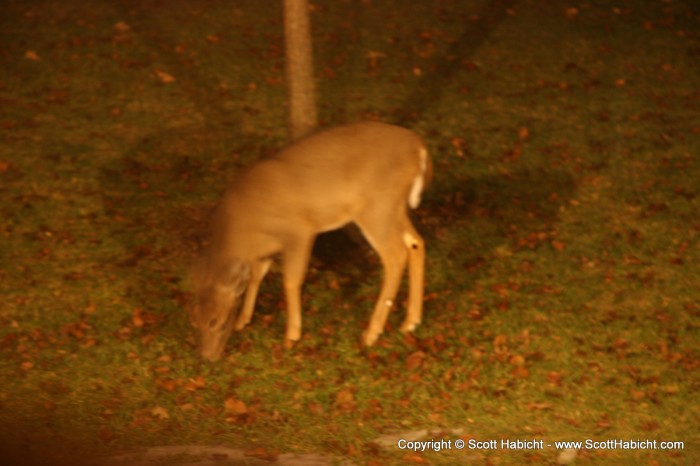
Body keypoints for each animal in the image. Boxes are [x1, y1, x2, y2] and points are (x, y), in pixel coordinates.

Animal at [191, 121, 432, 360]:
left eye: (215, 321)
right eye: (195, 321)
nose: (207, 356)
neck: (244, 233)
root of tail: (418, 147)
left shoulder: (299, 231)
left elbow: (291, 280)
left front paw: (291, 336)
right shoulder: (265, 251)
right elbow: (255, 277)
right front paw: (243, 320)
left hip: (376, 206)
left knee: (395, 256)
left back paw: (372, 333)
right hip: (395, 207)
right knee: (416, 242)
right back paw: (410, 322)